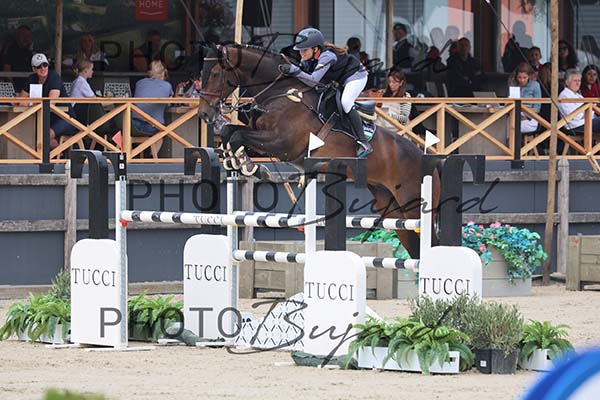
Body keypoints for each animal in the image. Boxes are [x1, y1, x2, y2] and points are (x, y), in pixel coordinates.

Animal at [198, 44, 440, 259]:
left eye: (216, 74)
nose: (204, 115)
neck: (279, 92)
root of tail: (430, 161)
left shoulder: (282, 143)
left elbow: (237, 136)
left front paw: (251, 167)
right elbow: (230, 132)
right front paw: (237, 162)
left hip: (413, 206)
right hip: (391, 207)